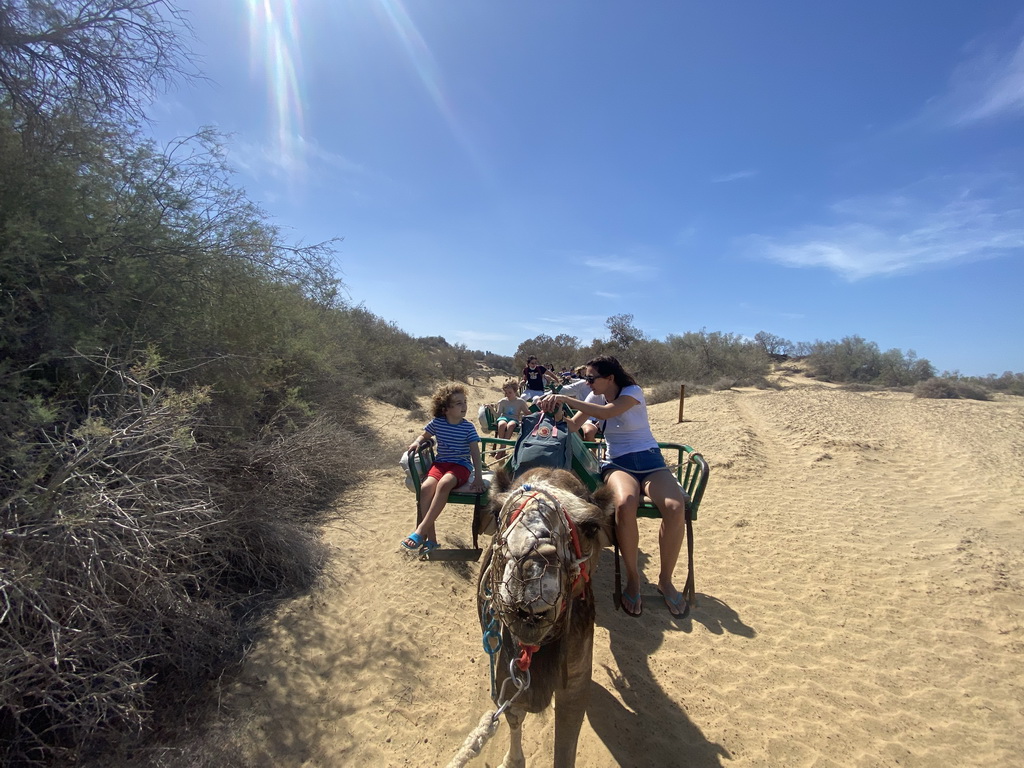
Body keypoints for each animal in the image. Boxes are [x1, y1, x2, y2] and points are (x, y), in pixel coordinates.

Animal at [475, 468, 610, 768]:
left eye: (591, 526)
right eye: (497, 512)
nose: (529, 564)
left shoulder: (576, 680)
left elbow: (566, 744)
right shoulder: (506, 666)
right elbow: (513, 713)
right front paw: (512, 761)